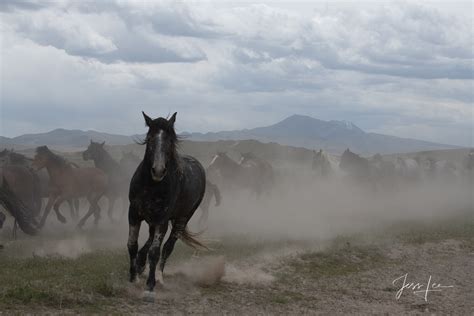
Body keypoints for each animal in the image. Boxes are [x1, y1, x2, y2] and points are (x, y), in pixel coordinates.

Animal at [127, 112, 206, 292]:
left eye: (170, 140)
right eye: (150, 138)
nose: (158, 170)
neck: (150, 186)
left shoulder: (162, 220)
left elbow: (155, 252)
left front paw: (150, 285)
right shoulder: (133, 214)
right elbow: (132, 245)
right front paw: (133, 277)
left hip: (182, 219)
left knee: (167, 247)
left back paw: (159, 276)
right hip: (152, 221)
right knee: (149, 242)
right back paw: (141, 265)